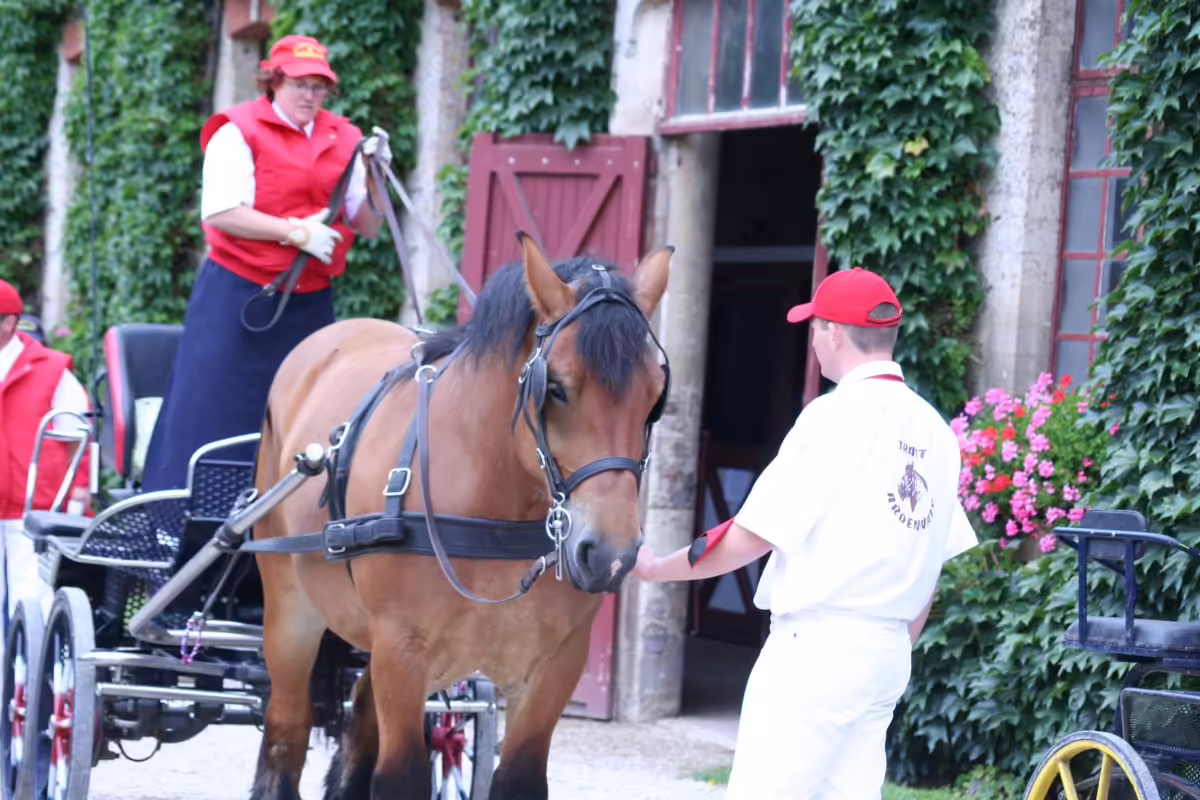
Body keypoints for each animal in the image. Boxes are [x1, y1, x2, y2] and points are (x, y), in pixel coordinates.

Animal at [248, 232, 672, 800]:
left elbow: (518, 778)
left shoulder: (556, 665)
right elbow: (400, 776)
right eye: (555, 387)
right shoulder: (402, 651)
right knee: (286, 733)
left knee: (359, 724)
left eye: (654, 397)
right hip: (291, 613)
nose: (609, 555)